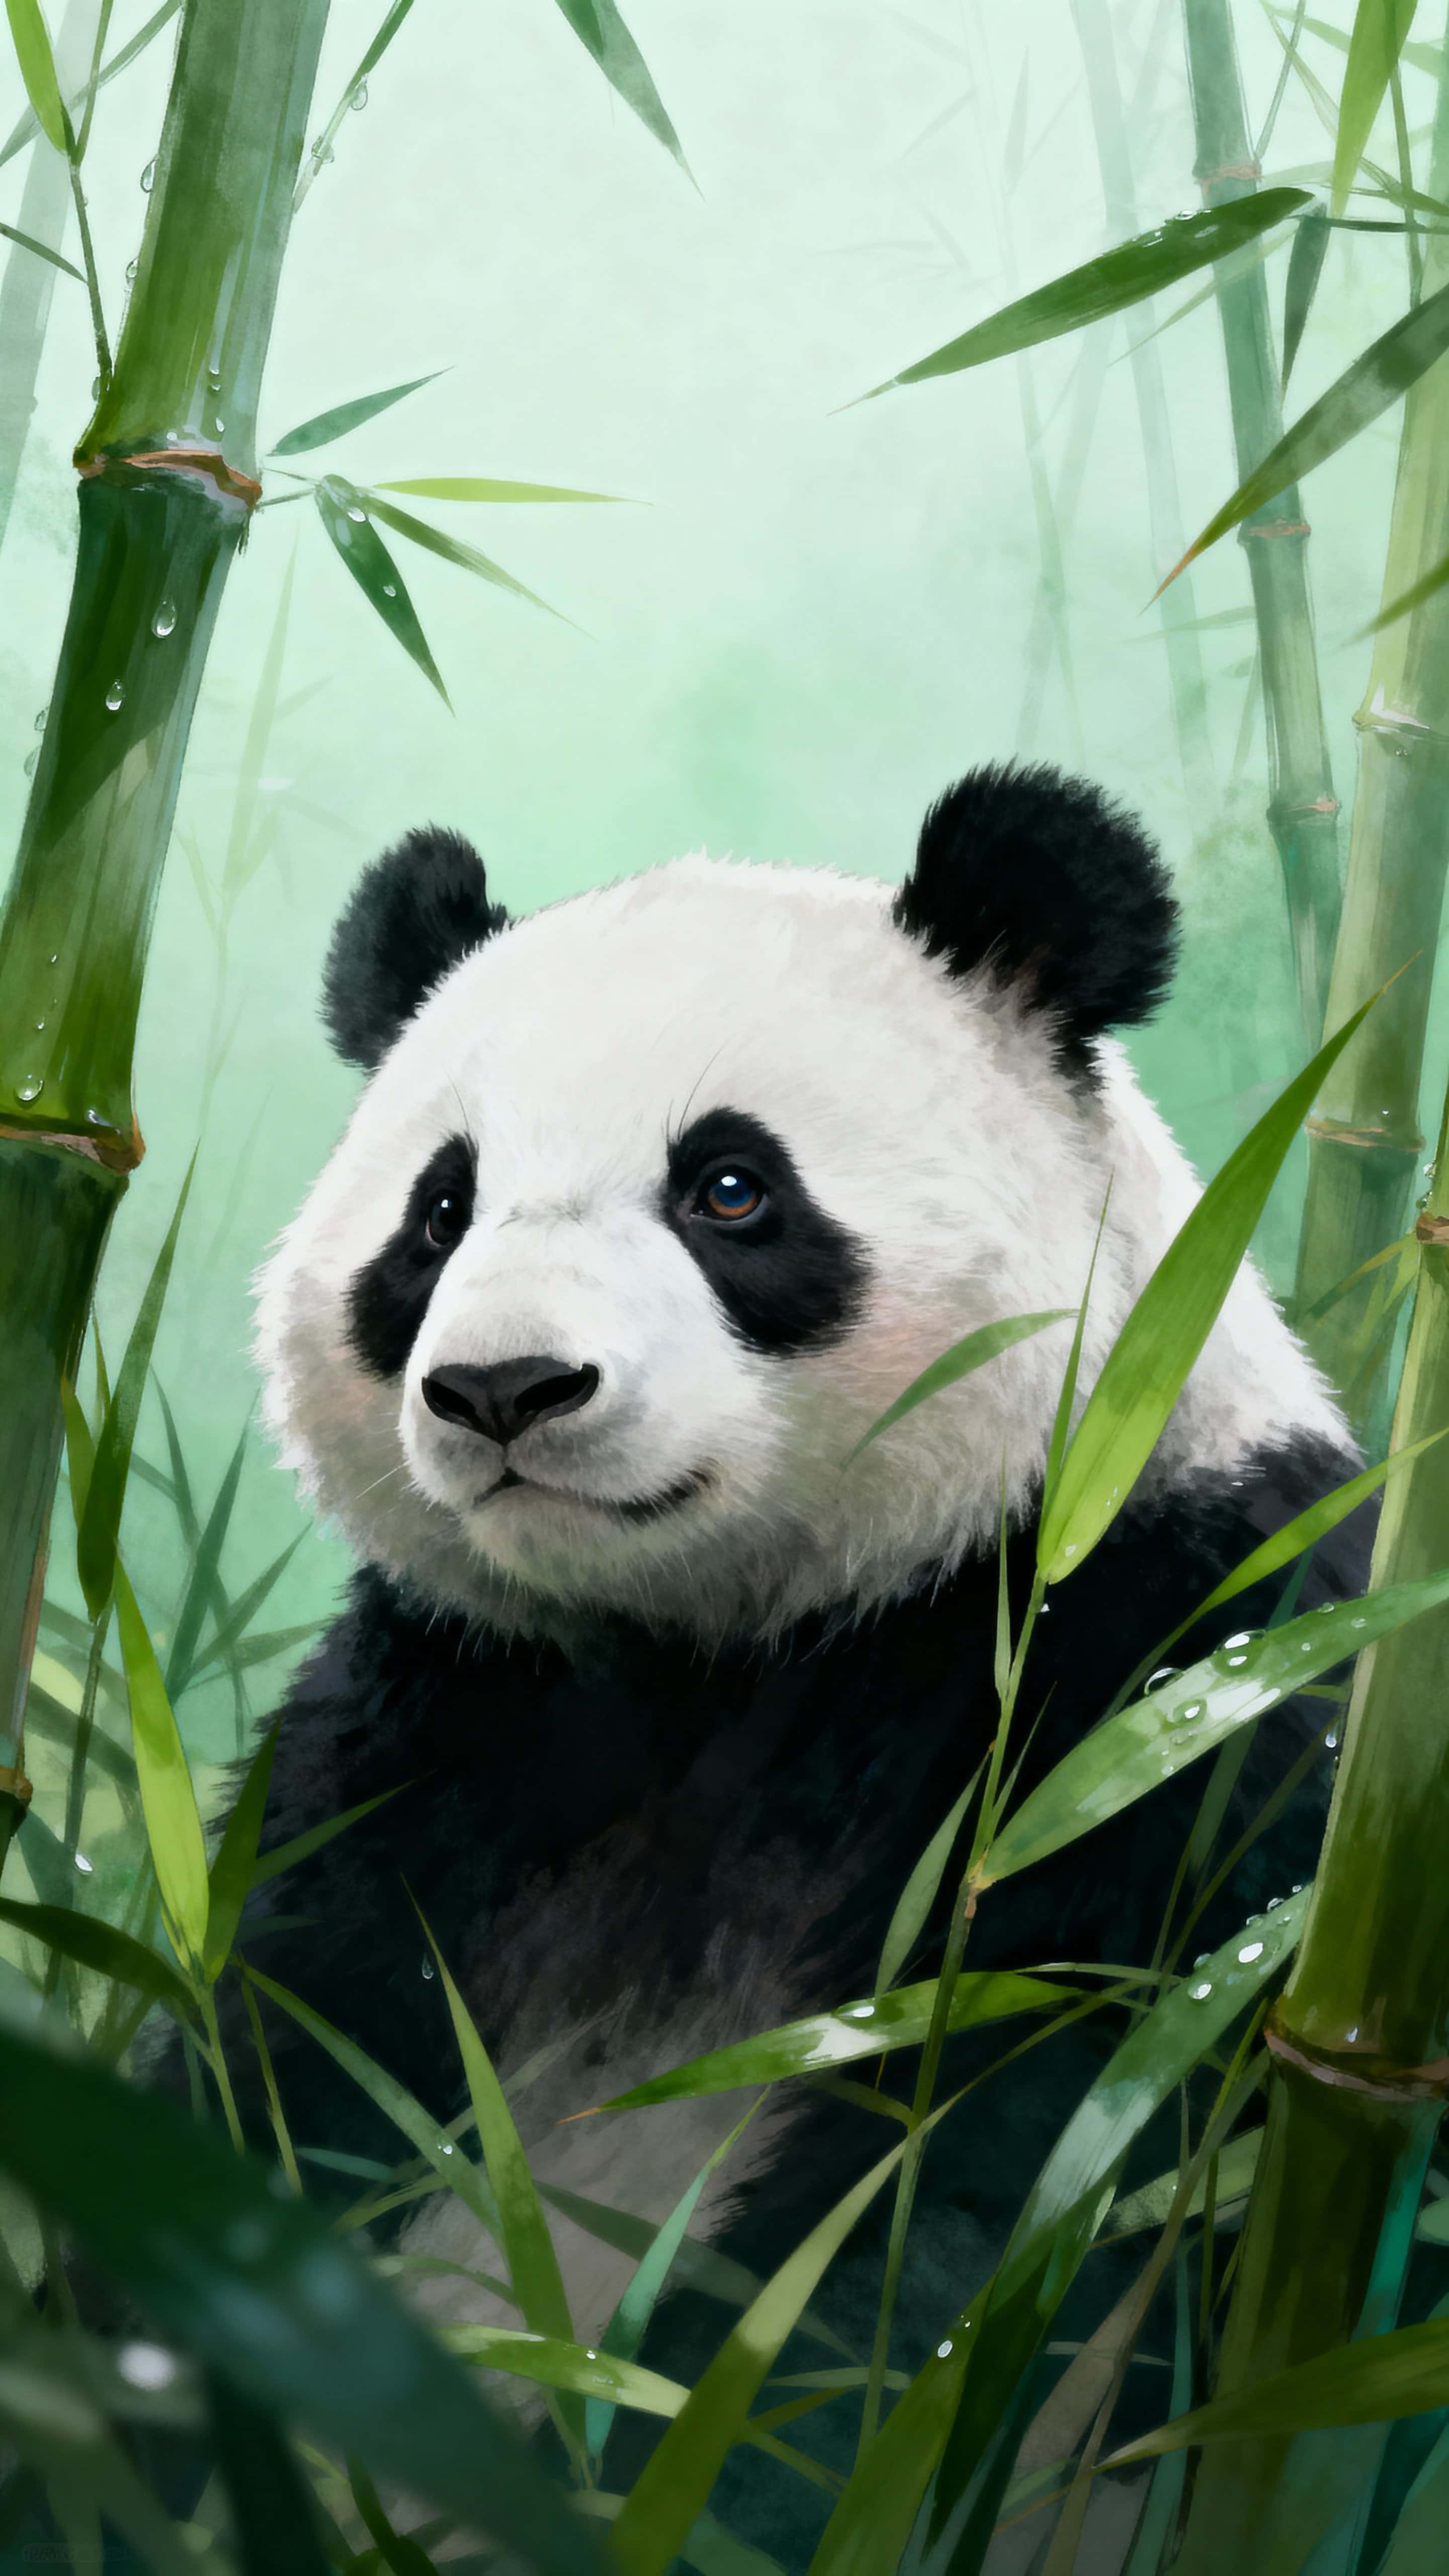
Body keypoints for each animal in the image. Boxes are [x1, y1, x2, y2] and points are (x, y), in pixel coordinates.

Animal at [228, 763, 1367, 2566]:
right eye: (440, 1211)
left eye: (730, 1188)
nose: (504, 1388)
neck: (736, 1640)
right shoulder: (450, 1714)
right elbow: (290, 2050)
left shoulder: (1169, 1672)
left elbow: (981, 2190)